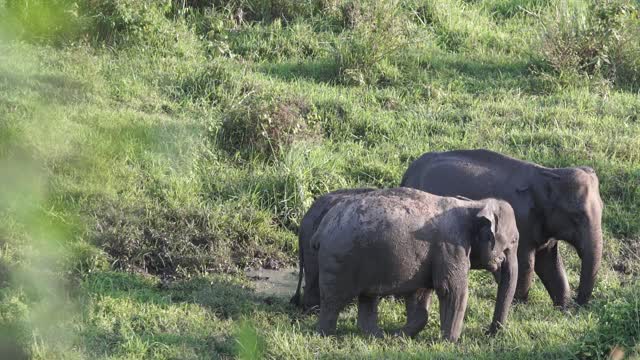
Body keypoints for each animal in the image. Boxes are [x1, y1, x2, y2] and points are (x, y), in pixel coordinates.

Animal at [314, 187, 520, 342]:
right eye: (514, 241)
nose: (488, 333)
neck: (473, 205)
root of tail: (323, 223)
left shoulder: (429, 257)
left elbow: (420, 295)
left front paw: (399, 337)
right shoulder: (450, 246)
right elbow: (451, 290)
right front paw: (450, 343)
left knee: (368, 298)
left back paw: (377, 336)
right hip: (338, 261)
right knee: (333, 300)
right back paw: (326, 335)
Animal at [402, 149, 604, 306]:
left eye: (603, 209)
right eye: (576, 216)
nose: (577, 304)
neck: (547, 174)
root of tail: (408, 173)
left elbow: (549, 263)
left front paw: (562, 306)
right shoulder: (522, 221)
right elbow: (526, 263)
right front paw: (519, 303)